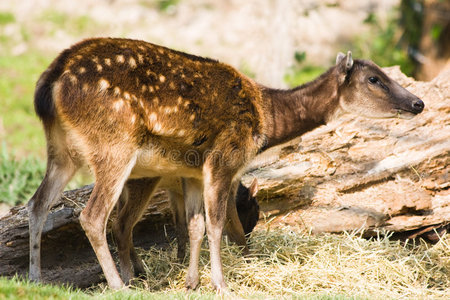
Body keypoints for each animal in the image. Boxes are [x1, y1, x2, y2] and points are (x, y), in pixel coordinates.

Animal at [27, 37, 422, 292]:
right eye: (375, 79)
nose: (418, 103)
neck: (266, 120)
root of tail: (50, 84)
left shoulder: (191, 170)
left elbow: (195, 225)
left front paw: (191, 282)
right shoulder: (224, 158)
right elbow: (216, 224)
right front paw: (220, 284)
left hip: (60, 150)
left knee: (37, 204)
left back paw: (35, 279)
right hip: (114, 144)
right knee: (94, 216)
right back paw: (120, 286)